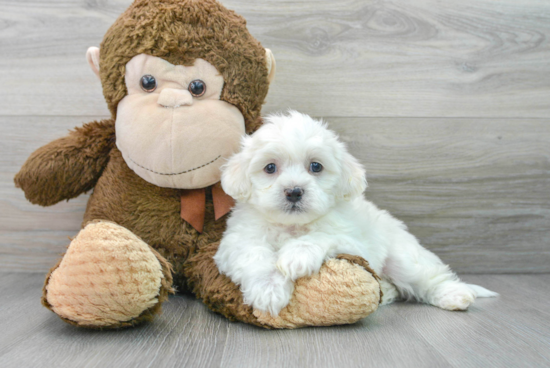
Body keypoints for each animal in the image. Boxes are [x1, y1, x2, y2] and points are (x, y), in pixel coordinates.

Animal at [213, 110, 498, 316]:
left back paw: (454, 295)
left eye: (316, 166)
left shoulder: (353, 242)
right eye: (270, 167)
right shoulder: (236, 243)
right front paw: (269, 290)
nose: (294, 191)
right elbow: (256, 255)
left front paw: (297, 255)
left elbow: (322, 236)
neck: (292, 226)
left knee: (427, 277)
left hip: (403, 258)